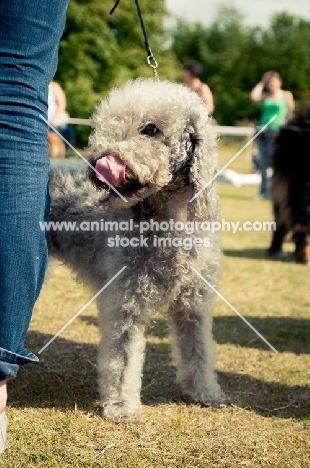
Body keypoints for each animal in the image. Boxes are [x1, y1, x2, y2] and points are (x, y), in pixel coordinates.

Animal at [50, 78, 225, 422]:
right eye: (102, 125)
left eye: (150, 129)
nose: (99, 161)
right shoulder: (125, 302)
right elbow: (122, 360)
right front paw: (121, 408)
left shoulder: (193, 304)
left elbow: (198, 351)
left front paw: (205, 392)